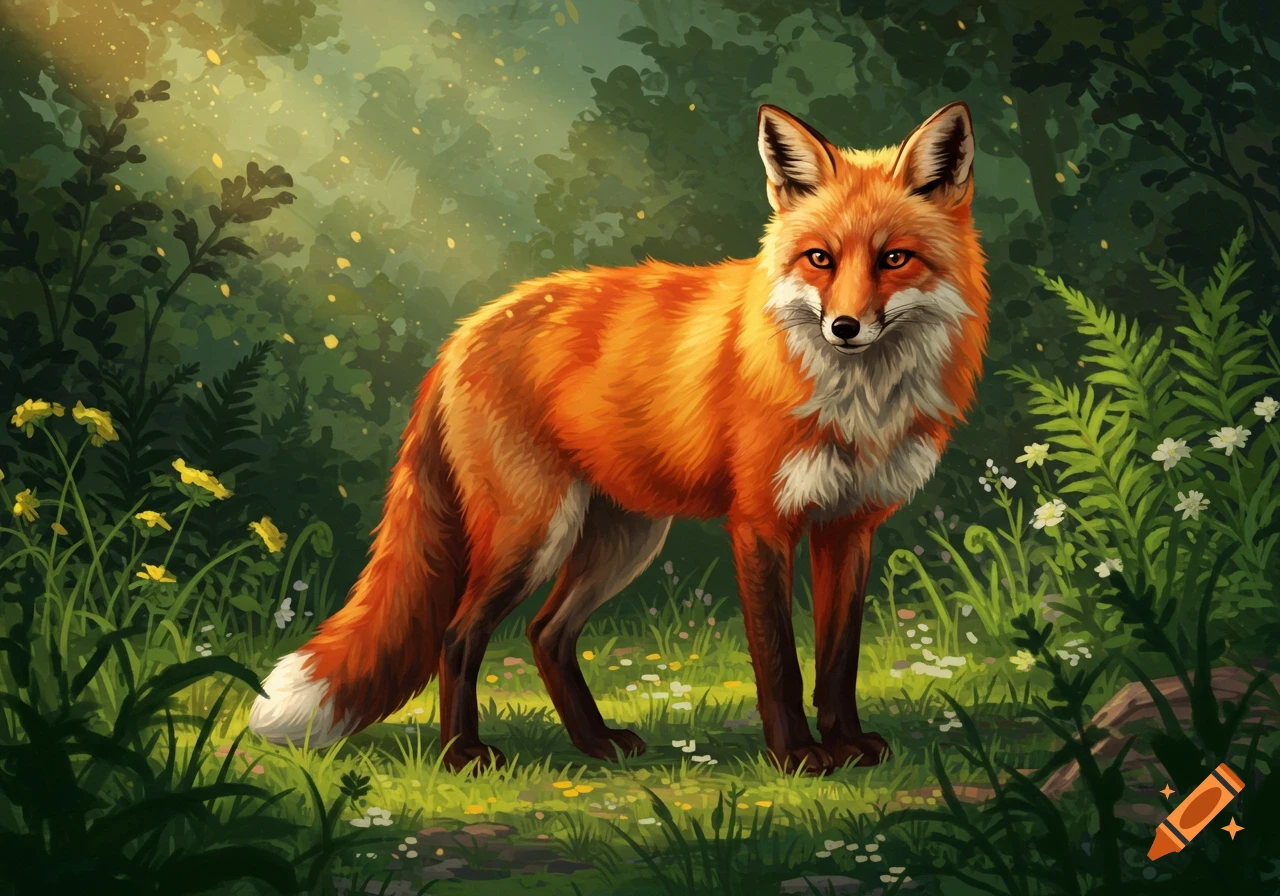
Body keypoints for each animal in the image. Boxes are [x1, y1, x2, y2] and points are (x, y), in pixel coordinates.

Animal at [249, 101, 989, 775]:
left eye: (894, 259)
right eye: (820, 259)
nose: (844, 327)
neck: (857, 405)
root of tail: (466, 329)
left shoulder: (849, 526)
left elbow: (838, 658)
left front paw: (847, 745)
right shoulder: (760, 523)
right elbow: (779, 661)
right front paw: (798, 756)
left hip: (622, 540)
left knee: (546, 634)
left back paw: (596, 743)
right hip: (532, 533)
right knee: (458, 637)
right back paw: (463, 755)